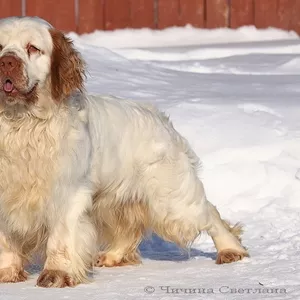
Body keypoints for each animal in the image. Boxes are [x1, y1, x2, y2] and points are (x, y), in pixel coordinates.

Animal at [0, 17, 248, 288]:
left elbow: (61, 239)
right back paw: (113, 256)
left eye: (32, 48)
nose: (6, 61)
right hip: (114, 199)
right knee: (128, 229)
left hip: (172, 204)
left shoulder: (67, 193)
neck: (20, 124)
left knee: (210, 213)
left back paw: (231, 250)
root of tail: (158, 116)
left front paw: (57, 274)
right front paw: (7, 272)